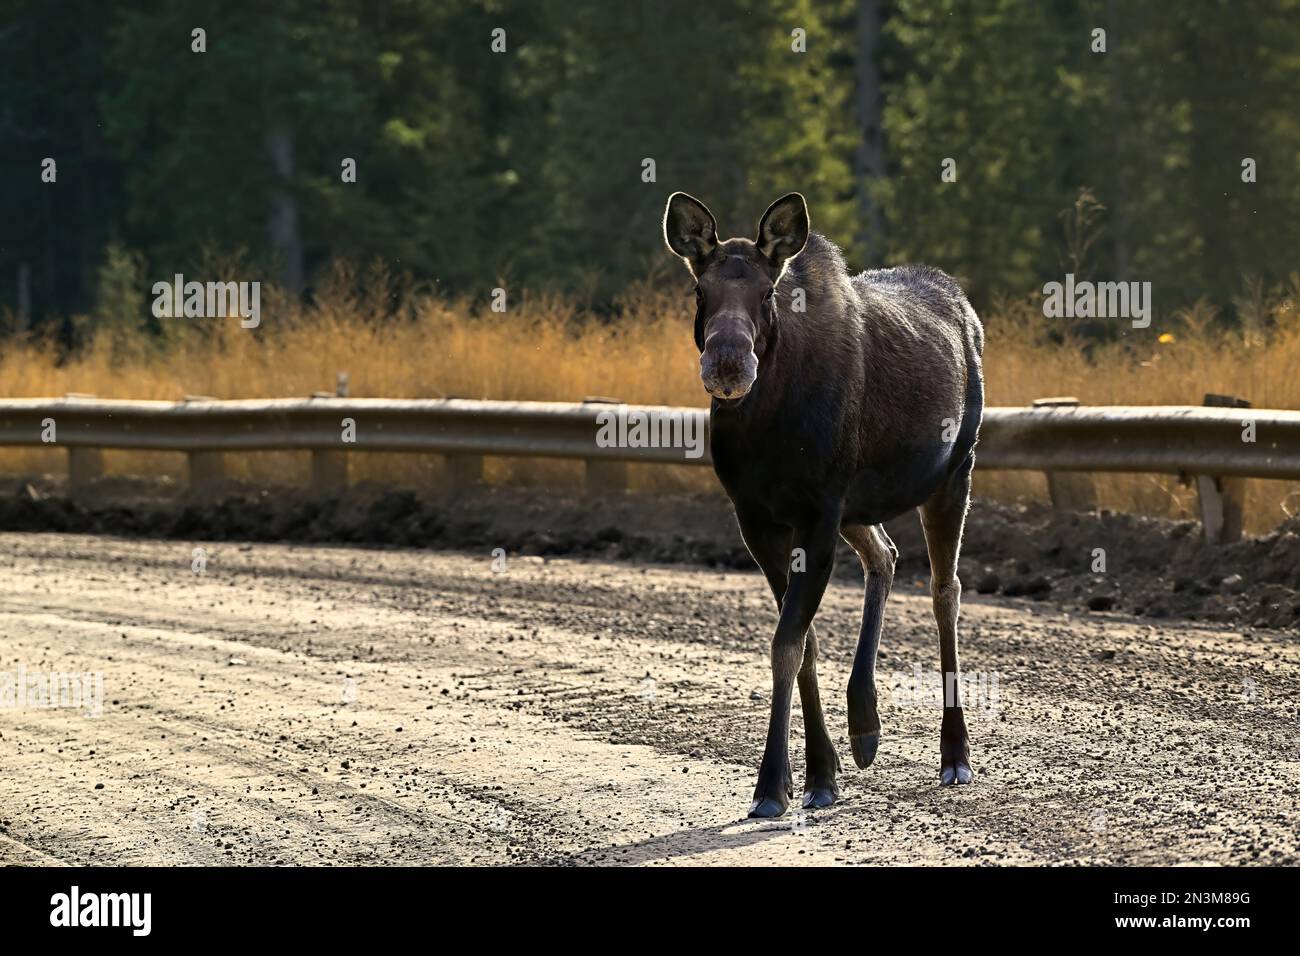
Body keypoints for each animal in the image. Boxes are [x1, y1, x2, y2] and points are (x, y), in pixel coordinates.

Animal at [660, 191, 982, 816]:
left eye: (767, 292)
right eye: (700, 291)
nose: (728, 364)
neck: (765, 426)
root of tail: (965, 308)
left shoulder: (817, 511)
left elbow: (786, 643)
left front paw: (771, 785)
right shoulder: (759, 520)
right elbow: (803, 641)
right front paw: (819, 771)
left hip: (954, 472)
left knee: (945, 591)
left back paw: (954, 754)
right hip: (858, 508)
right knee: (885, 556)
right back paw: (865, 724)